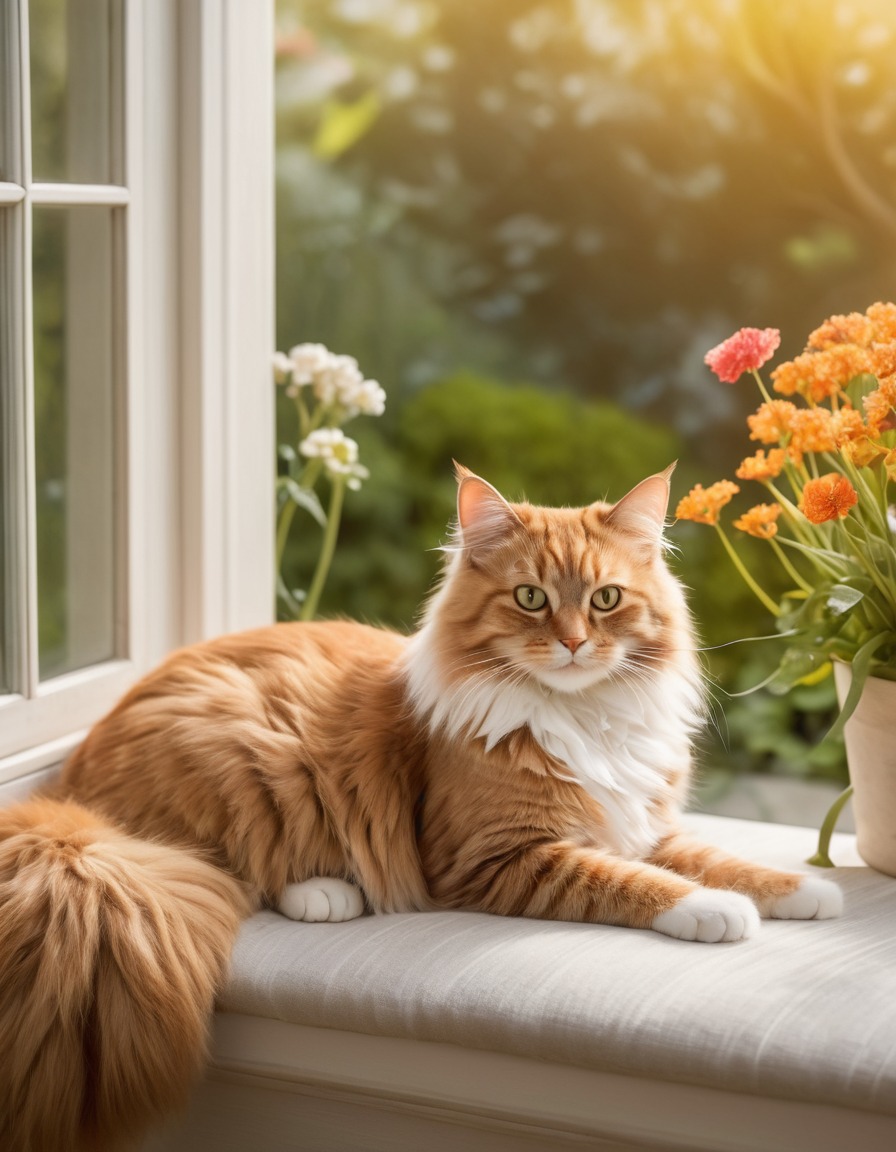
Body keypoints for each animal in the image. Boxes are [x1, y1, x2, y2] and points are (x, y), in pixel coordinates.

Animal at [0, 460, 838, 1152]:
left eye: (606, 601)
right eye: (530, 598)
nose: (572, 644)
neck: (579, 717)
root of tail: (73, 797)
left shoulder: (639, 823)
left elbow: (717, 858)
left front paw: (807, 890)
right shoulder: (498, 858)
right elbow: (637, 883)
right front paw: (715, 911)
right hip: (249, 760)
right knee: (223, 872)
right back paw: (327, 893)